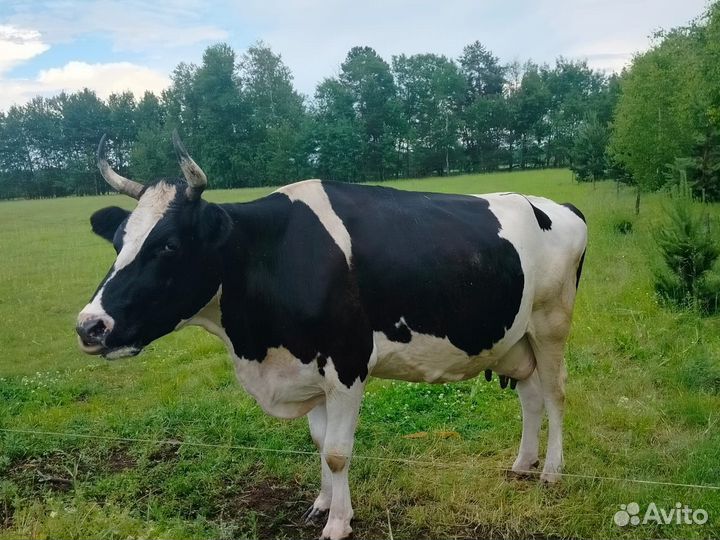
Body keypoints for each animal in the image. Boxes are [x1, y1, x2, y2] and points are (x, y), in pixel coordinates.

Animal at [76, 131, 587, 540]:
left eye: (168, 245)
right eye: (119, 241)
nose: (89, 326)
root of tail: (557, 205)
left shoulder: (347, 362)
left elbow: (339, 452)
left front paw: (339, 523)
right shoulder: (308, 366)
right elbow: (321, 444)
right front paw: (322, 504)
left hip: (551, 322)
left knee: (556, 393)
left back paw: (553, 471)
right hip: (515, 338)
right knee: (530, 396)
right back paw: (523, 464)